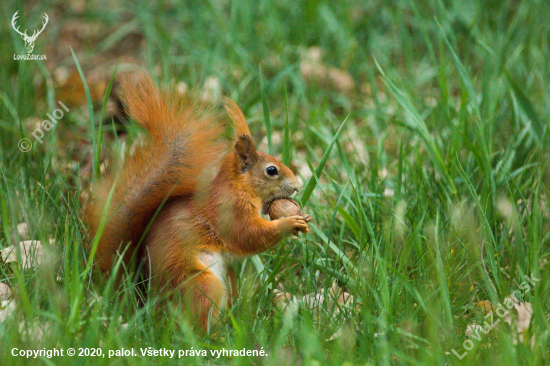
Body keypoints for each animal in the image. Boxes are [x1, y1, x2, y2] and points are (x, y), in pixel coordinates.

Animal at [84, 73, 312, 330]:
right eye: (271, 170)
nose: (297, 185)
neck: (238, 187)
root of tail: (145, 303)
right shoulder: (229, 209)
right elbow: (247, 235)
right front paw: (289, 223)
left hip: (226, 278)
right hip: (201, 284)